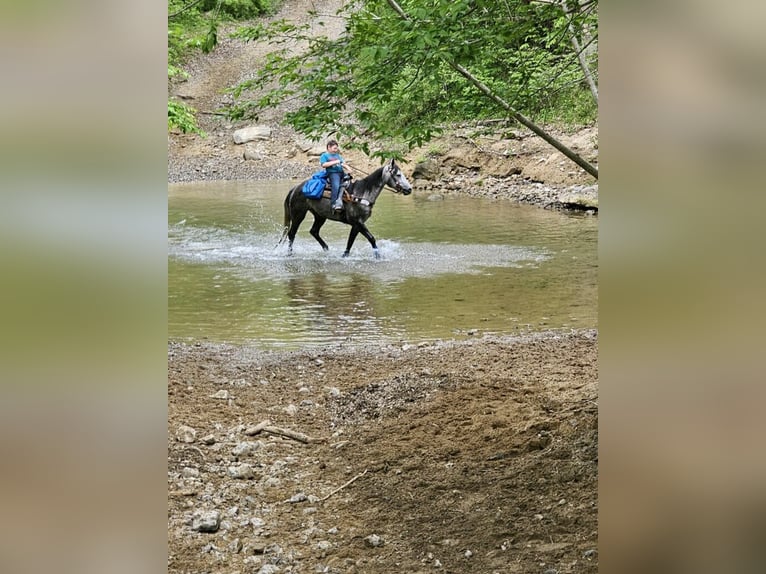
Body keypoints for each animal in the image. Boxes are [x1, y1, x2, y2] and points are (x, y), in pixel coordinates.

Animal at [280, 159, 414, 260]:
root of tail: (295, 188)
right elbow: (371, 238)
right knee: (292, 234)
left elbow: (350, 241)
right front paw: (378, 256)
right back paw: (290, 254)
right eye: (398, 175)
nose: (409, 189)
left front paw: (344, 255)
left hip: (320, 216)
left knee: (314, 231)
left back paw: (327, 249)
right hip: (298, 215)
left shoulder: (356, 225)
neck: (362, 193)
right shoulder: (358, 222)